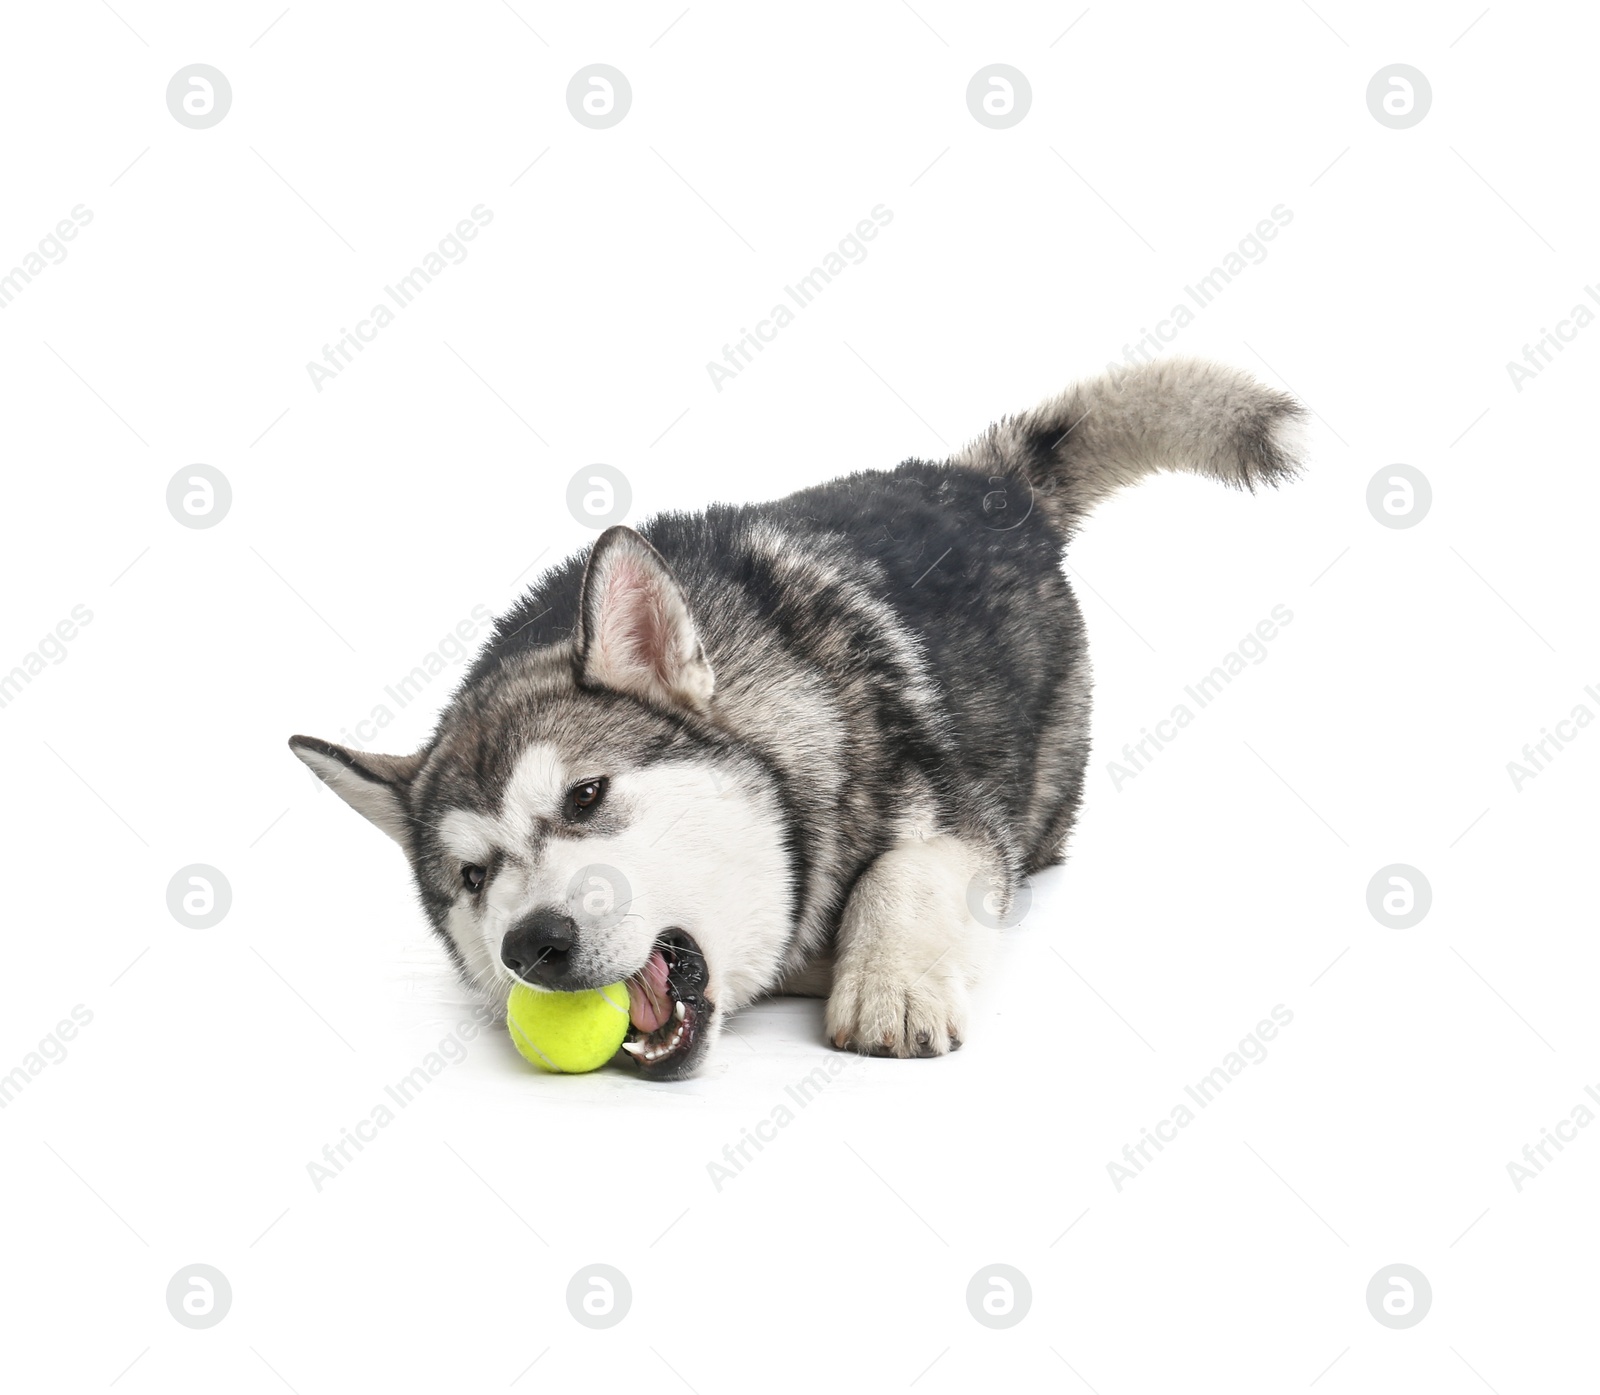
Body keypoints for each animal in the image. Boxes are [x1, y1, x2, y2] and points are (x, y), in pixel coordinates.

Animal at [294, 356, 1305, 1081]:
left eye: (585, 796)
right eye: (472, 877)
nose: (533, 943)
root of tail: (984, 485)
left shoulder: (960, 820)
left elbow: (903, 873)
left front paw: (890, 981)